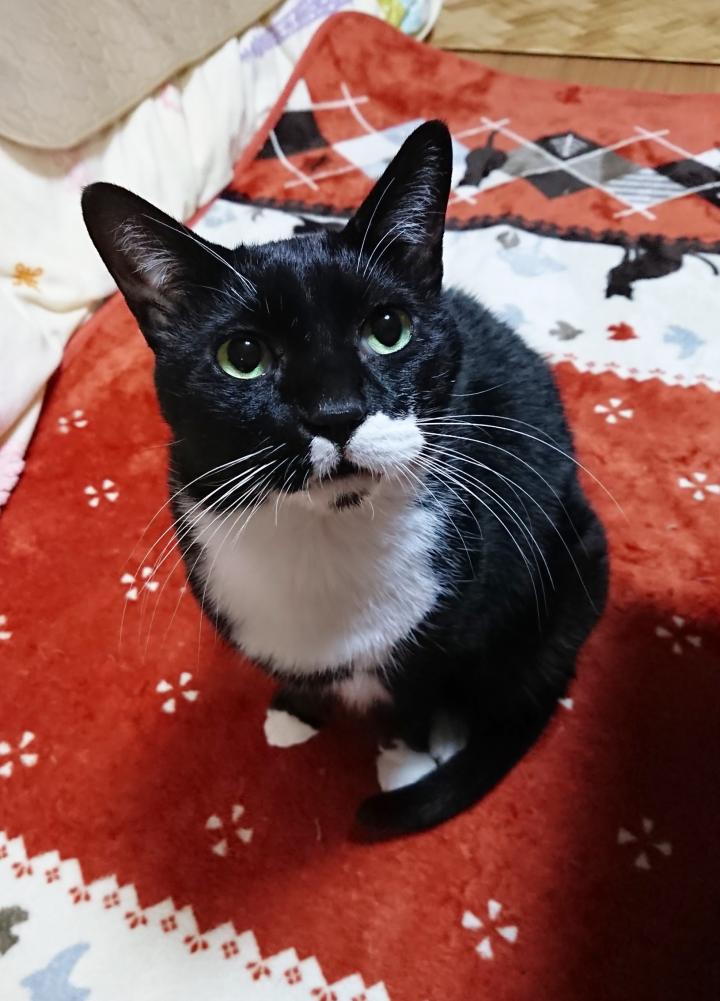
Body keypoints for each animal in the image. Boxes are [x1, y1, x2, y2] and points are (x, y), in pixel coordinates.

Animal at [82, 120, 608, 837]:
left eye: (388, 329)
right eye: (241, 356)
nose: (336, 413)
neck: (324, 533)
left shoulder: (449, 613)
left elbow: (417, 688)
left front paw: (407, 755)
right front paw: (294, 709)